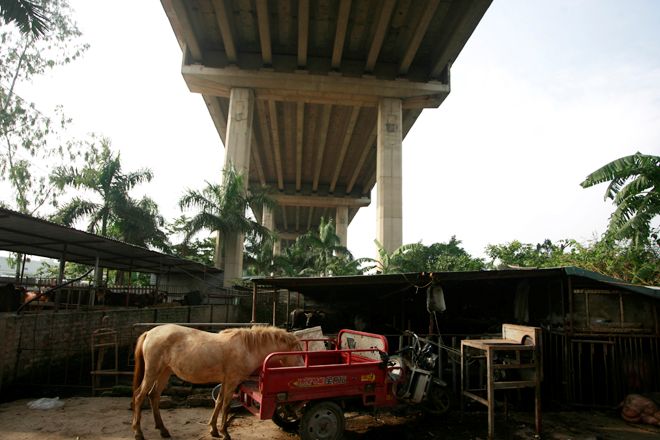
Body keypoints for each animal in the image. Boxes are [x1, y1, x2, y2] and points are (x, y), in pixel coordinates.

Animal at [131, 324, 304, 440]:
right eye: (298, 351)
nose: (303, 367)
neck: (247, 348)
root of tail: (150, 332)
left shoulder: (226, 381)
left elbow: (219, 402)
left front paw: (214, 429)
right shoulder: (232, 381)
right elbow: (226, 405)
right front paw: (225, 432)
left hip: (164, 372)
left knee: (154, 396)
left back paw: (163, 429)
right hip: (152, 371)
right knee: (140, 396)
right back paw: (138, 432)